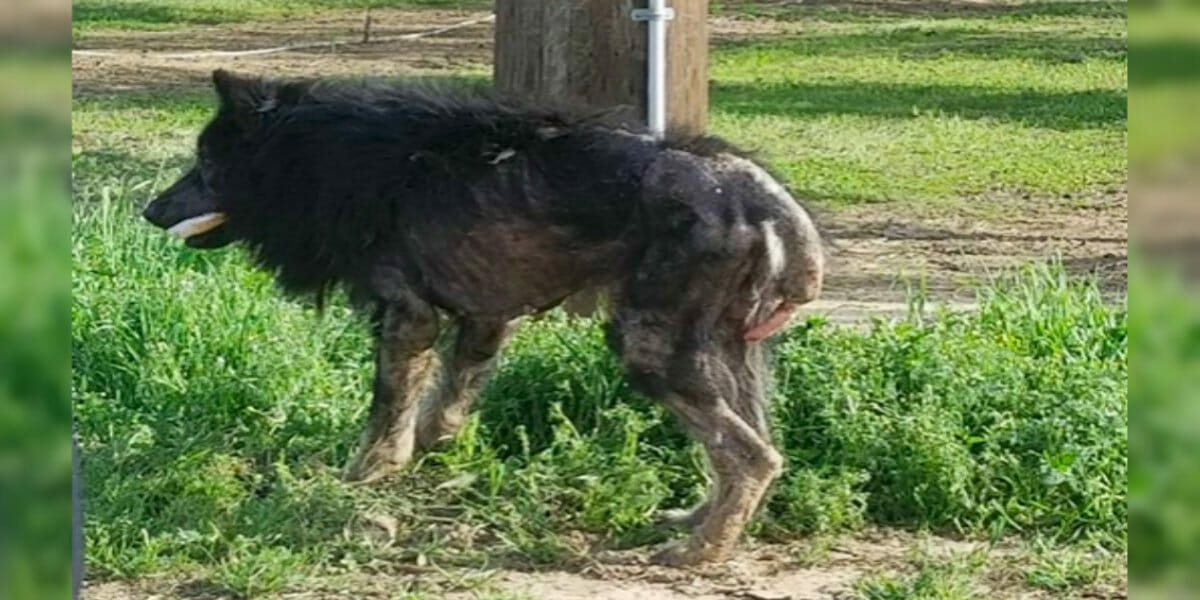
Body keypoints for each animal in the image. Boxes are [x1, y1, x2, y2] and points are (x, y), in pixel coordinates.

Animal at [145, 70, 825, 566]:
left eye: (206, 162)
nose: (149, 210)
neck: (321, 157)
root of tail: (766, 198)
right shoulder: (485, 319)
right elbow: (442, 410)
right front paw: (425, 464)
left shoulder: (408, 317)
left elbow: (386, 414)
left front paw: (362, 478)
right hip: (730, 354)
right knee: (758, 446)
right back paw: (700, 521)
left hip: (649, 348)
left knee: (750, 455)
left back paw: (699, 551)